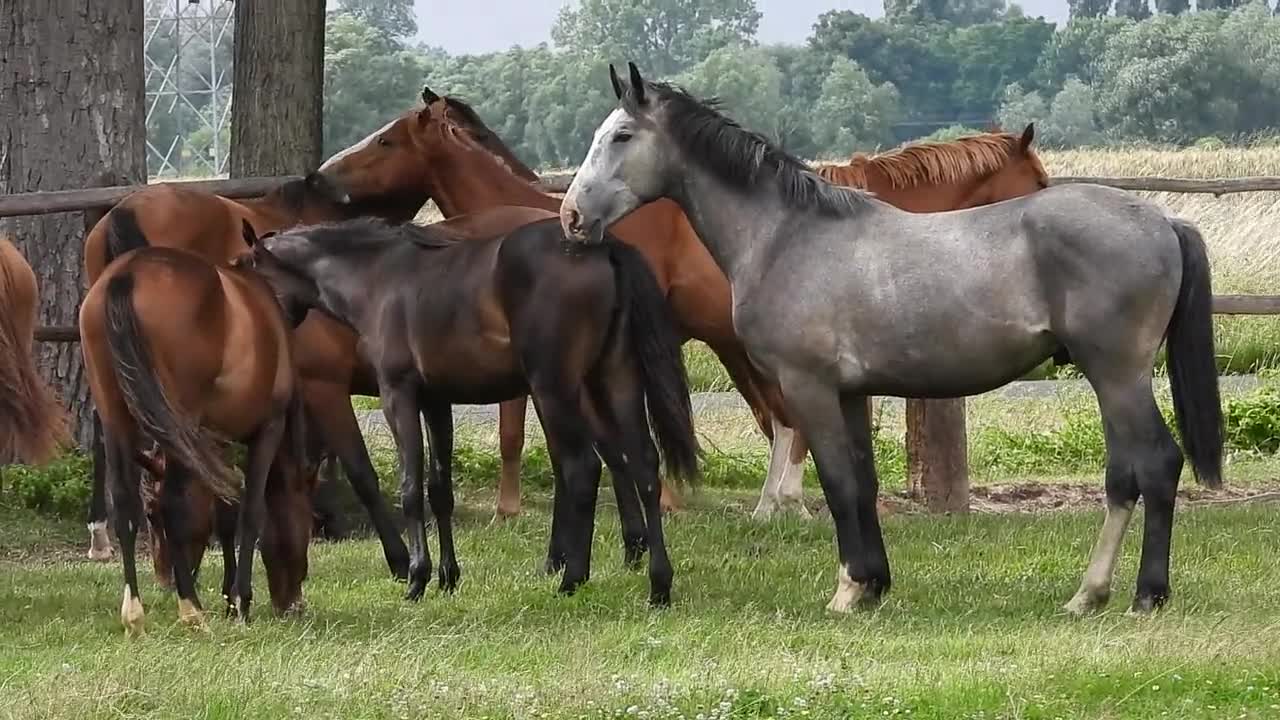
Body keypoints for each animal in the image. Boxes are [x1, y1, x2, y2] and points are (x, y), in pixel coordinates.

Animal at [240, 213, 701, 604]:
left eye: (247, 273)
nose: (257, 334)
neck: (377, 278)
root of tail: (602, 248)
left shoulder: (398, 394)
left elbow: (411, 488)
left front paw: (416, 579)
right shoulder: (436, 401)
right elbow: (439, 489)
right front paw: (448, 577)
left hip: (556, 389)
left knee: (582, 469)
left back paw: (572, 578)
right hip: (615, 379)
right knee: (644, 466)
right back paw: (659, 585)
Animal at [565, 61, 1223, 614]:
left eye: (622, 136)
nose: (572, 217)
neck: (787, 235)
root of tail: (1163, 220)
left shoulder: (809, 388)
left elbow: (835, 482)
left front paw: (847, 589)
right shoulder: (852, 393)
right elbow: (861, 481)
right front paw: (874, 585)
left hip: (1117, 374)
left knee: (1155, 465)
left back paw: (1142, 594)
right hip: (1112, 379)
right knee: (1125, 475)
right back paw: (1092, 594)